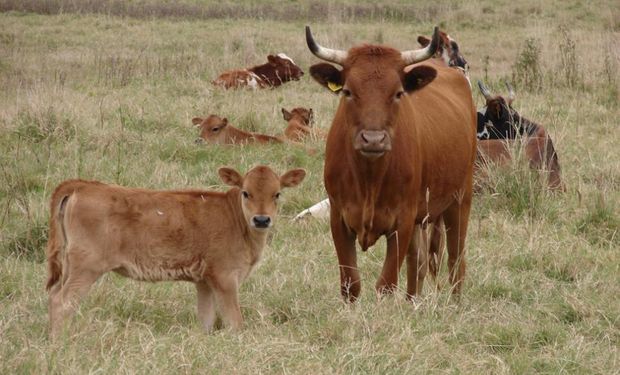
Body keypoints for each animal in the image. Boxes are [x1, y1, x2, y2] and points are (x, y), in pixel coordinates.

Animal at [308, 25, 478, 302]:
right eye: (348, 91)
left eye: (398, 93)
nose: (373, 139)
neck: (369, 178)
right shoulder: (339, 219)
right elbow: (351, 284)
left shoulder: (402, 222)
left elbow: (386, 284)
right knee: (418, 263)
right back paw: (412, 303)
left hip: (460, 200)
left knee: (455, 262)